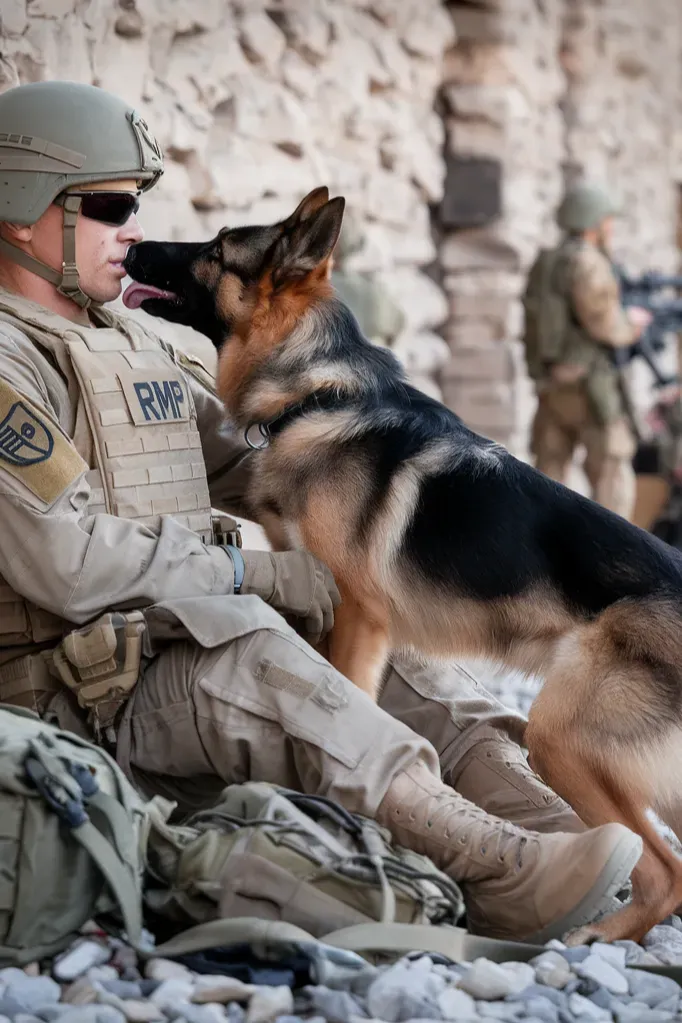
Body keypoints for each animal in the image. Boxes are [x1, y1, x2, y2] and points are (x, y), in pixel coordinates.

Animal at [124, 186, 682, 941]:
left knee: (664, 871)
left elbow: (353, 703)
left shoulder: (362, 620)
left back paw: (593, 931)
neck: (319, 392)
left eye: (215, 249)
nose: (129, 245)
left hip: (561, 739)